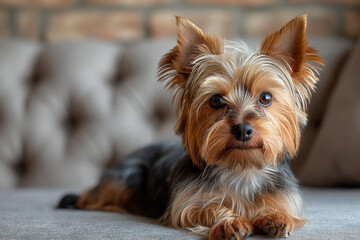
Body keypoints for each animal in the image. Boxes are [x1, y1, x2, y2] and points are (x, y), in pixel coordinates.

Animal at [59, 15, 324, 240]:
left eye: (266, 98)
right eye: (216, 100)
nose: (243, 130)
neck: (242, 168)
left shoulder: (285, 197)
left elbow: (280, 208)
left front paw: (274, 216)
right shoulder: (187, 204)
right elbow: (207, 207)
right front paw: (230, 222)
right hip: (125, 178)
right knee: (90, 198)